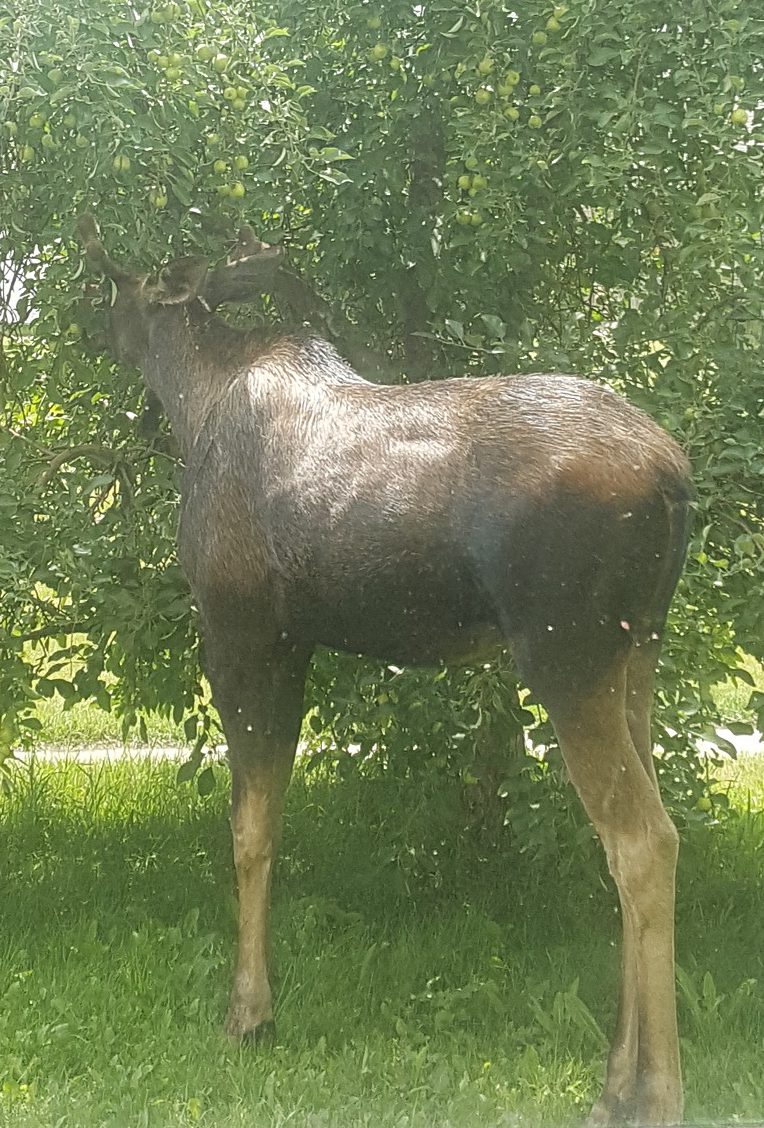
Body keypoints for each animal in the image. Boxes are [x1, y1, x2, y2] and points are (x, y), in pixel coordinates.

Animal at [77, 214, 693, 1127]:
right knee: (631, 830)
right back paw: (618, 1078)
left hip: (566, 648)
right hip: (639, 649)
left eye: (118, 287)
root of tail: (677, 480)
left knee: (643, 840)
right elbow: (271, 815)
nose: (91, 330)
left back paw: (653, 1093)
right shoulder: (296, 641)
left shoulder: (241, 627)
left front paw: (248, 1013)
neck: (195, 399)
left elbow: (249, 828)